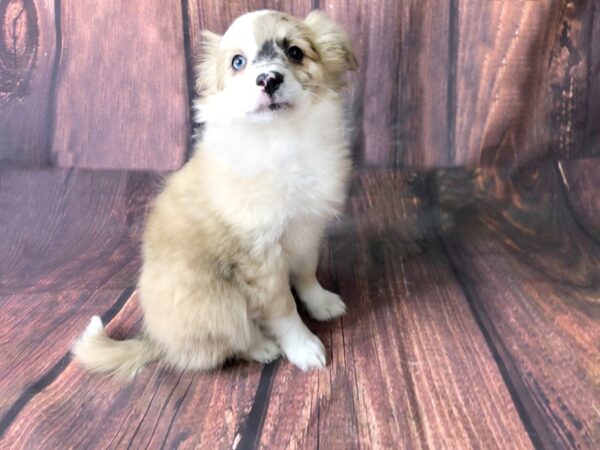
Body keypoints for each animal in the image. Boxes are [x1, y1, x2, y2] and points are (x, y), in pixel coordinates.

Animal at [73, 9, 358, 376]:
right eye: (238, 62)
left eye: (295, 52)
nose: (268, 79)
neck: (283, 139)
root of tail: (156, 340)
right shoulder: (261, 258)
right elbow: (283, 308)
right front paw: (303, 347)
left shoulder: (308, 232)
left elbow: (307, 274)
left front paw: (321, 302)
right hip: (218, 301)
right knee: (225, 340)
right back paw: (262, 347)